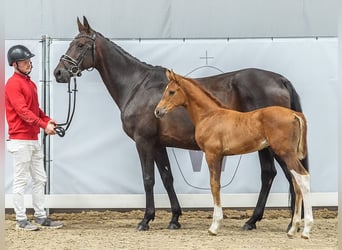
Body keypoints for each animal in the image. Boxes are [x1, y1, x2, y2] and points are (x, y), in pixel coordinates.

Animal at [155, 70, 312, 238]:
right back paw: (292, 228)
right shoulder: (220, 156)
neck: (210, 115)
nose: (157, 111)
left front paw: (214, 226)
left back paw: (305, 229)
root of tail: (294, 114)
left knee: (302, 178)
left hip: (285, 152)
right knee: (296, 181)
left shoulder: (212, 154)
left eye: (171, 91)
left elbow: (214, 185)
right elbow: (216, 185)